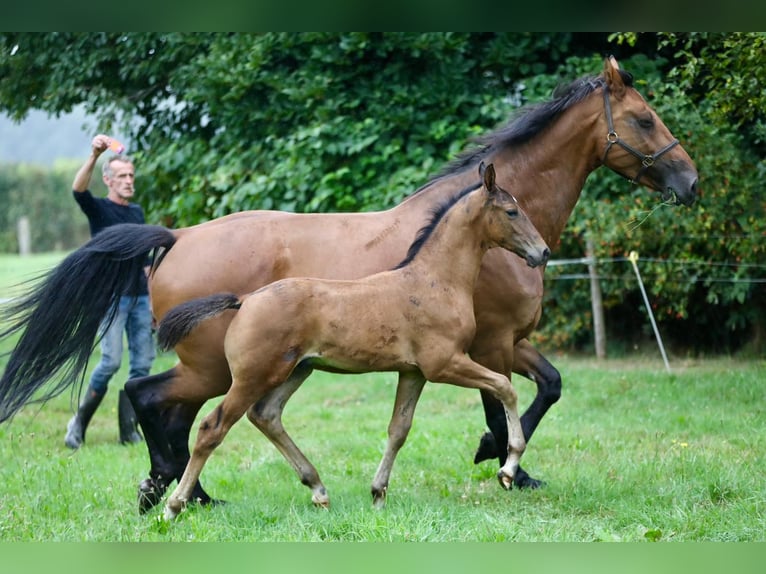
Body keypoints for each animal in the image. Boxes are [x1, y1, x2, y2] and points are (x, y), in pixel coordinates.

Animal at [158, 163, 552, 516]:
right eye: (512, 211)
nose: (543, 252)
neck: (434, 280)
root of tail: (246, 300)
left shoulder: (413, 372)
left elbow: (398, 429)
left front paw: (378, 493)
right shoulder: (444, 364)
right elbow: (505, 387)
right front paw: (508, 469)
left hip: (297, 370)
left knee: (266, 415)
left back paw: (318, 489)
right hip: (252, 376)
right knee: (212, 428)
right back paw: (174, 506)